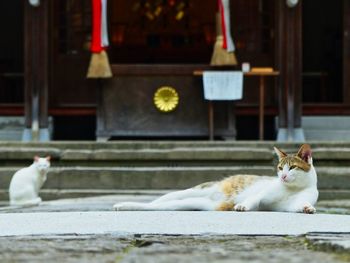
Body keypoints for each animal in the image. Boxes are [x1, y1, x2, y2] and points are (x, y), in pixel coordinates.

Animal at [113, 145, 318, 213]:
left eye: (292, 167)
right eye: (280, 168)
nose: (282, 176)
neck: (292, 188)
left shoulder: (291, 204)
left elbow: (298, 205)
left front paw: (308, 208)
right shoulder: (262, 194)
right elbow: (254, 199)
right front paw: (243, 206)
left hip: (198, 203)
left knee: (162, 206)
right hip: (197, 190)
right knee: (160, 200)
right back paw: (122, 205)